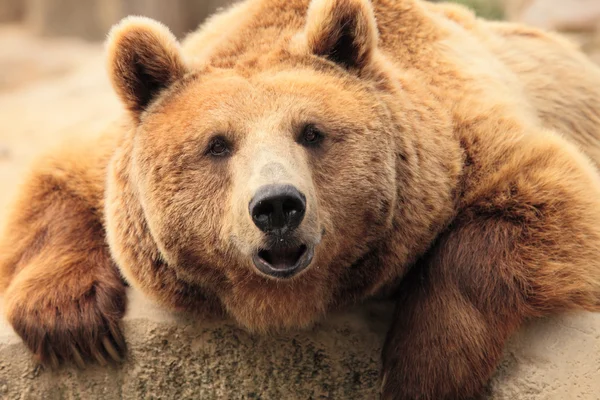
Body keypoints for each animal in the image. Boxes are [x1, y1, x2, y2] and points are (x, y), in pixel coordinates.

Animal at [1, 0, 600, 398]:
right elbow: (62, 175)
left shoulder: (462, 133)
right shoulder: (111, 157)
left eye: (311, 132)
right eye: (217, 144)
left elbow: (551, 200)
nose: (277, 207)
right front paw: (72, 327)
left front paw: (423, 367)